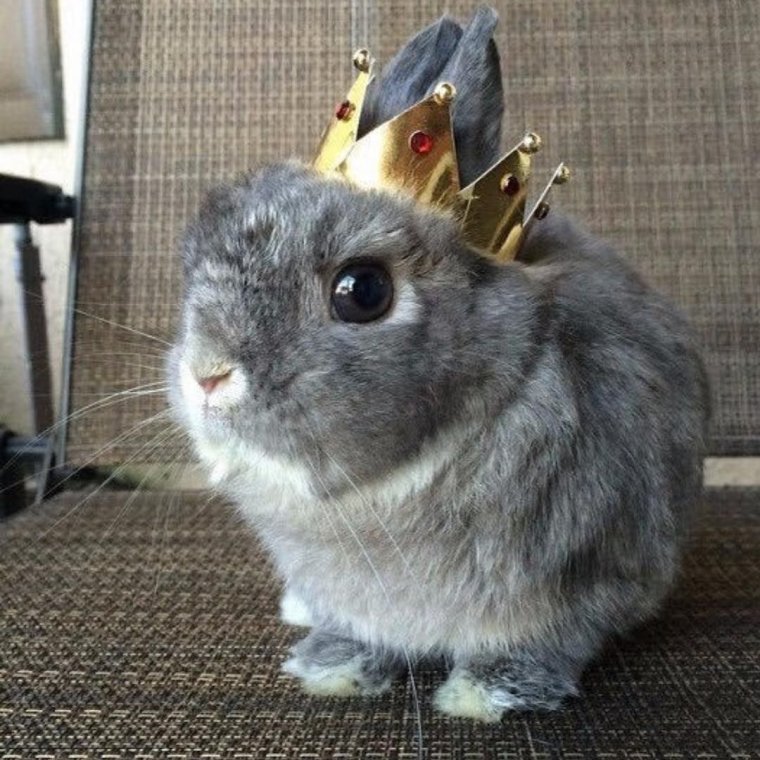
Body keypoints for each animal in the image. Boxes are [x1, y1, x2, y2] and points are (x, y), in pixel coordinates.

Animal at [167, 8, 709, 722]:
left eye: (363, 291)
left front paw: (485, 693)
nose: (206, 374)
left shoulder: (591, 577)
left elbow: (548, 639)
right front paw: (332, 667)